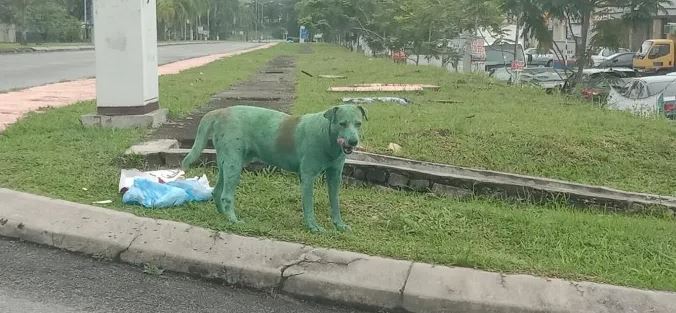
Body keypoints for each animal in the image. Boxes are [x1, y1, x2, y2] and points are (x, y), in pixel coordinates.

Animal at [181, 104, 364, 232]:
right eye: (342, 124)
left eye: (358, 124)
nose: (354, 141)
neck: (327, 135)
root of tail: (220, 111)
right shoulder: (307, 177)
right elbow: (309, 204)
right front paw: (313, 227)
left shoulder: (335, 176)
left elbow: (335, 202)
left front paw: (339, 224)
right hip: (234, 165)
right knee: (226, 195)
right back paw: (234, 220)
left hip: (227, 164)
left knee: (217, 191)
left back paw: (223, 215)